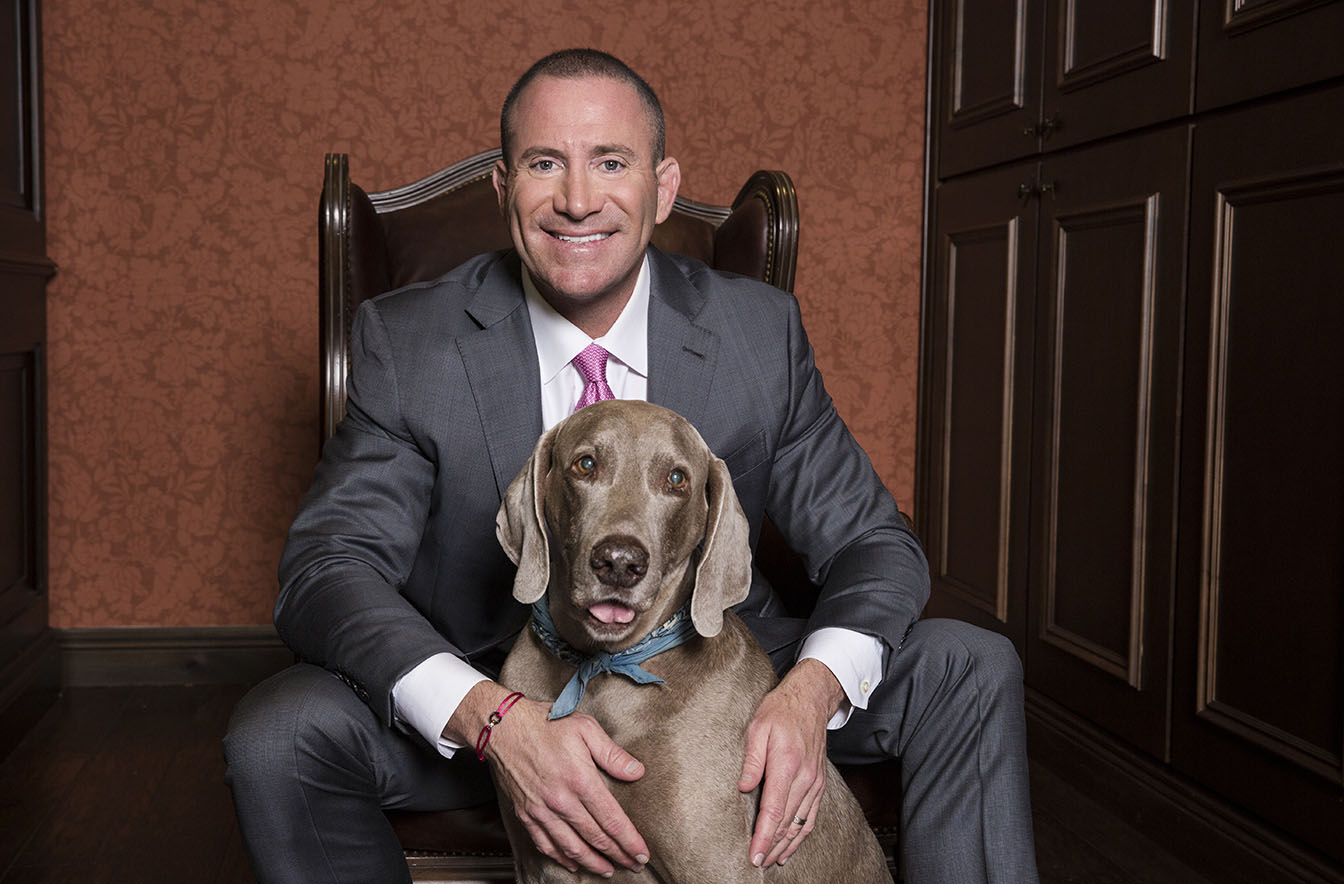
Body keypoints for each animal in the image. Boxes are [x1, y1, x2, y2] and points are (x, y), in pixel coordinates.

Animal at [494, 400, 892, 881]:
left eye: (677, 479)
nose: (619, 562)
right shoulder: (548, 857)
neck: (605, 666)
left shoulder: (717, 861)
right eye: (586, 464)